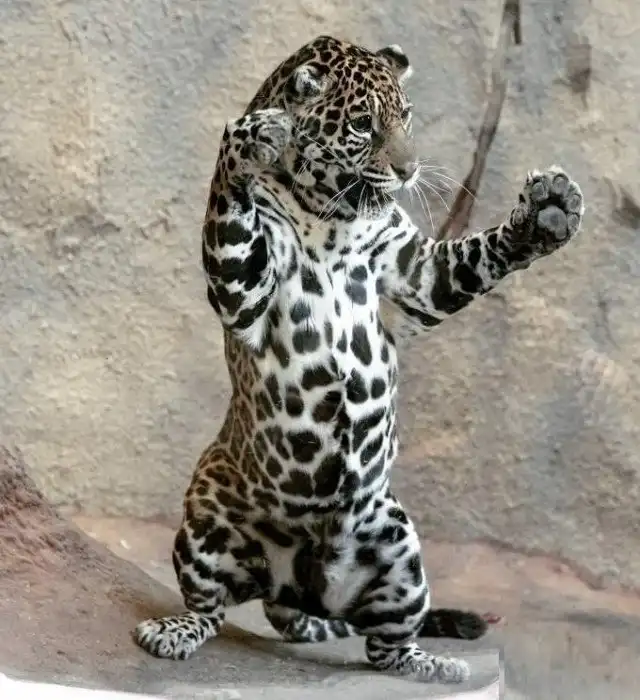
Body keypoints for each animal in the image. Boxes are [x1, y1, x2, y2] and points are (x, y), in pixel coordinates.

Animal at [133, 35, 585, 684]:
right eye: (362, 125)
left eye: (407, 117)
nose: (408, 169)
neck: (333, 215)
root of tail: (294, 590)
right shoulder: (244, 290)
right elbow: (229, 206)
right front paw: (251, 140)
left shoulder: (417, 274)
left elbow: (476, 256)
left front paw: (550, 210)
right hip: (205, 515)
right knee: (209, 609)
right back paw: (172, 632)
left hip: (398, 547)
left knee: (384, 646)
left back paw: (435, 664)